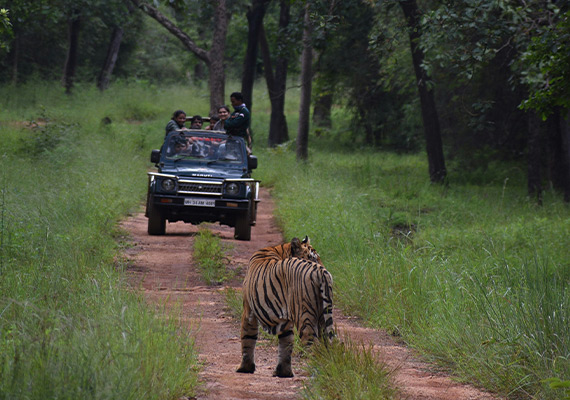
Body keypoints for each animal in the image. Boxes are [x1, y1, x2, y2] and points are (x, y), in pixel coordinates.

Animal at [235, 236, 332, 376]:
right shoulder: (286, 321)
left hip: (305, 317)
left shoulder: (248, 311)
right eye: (313, 258)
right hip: (322, 317)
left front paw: (245, 368)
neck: (279, 250)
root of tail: (321, 271)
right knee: (327, 346)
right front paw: (283, 372)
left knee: (314, 347)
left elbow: (247, 339)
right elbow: (286, 344)